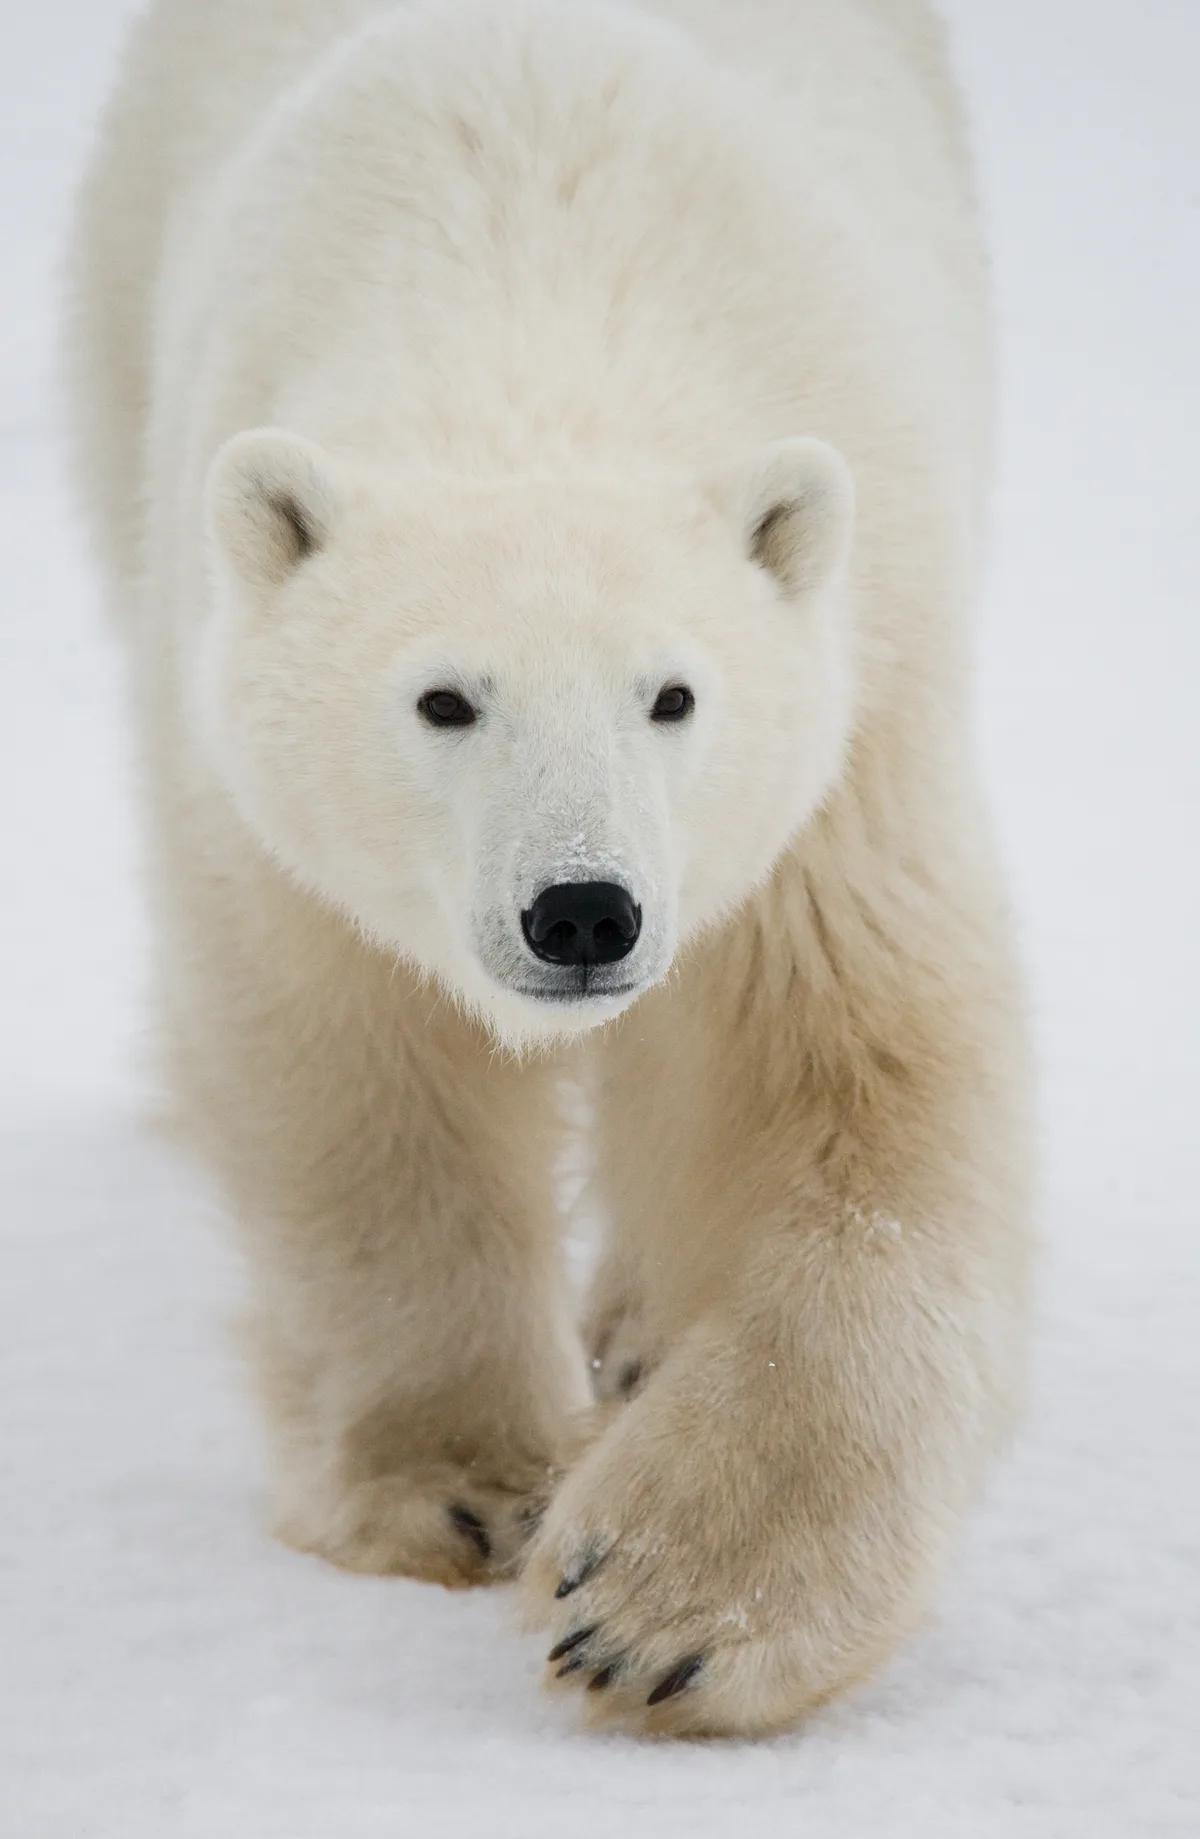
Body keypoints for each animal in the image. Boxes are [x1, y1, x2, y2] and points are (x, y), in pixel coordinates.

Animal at [65, 0, 1031, 1738]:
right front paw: (461, 1486)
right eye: (445, 698)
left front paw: (667, 1606)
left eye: (675, 692)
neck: (539, 302)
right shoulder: (254, 796)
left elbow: (852, 1095)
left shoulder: (847, 742)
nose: (584, 909)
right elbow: (355, 1087)